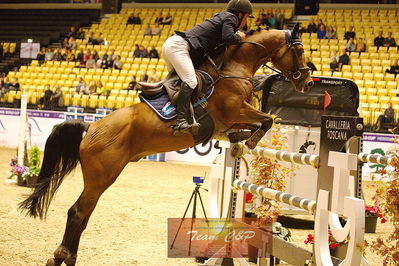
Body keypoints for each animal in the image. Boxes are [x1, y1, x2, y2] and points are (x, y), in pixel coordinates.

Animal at [18, 25, 312, 266]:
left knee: (85, 214)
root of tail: (91, 127)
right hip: (102, 176)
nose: (306, 81)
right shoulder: (235, 111)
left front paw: (241, 142)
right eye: (299, 50)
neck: (233, 70)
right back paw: (61, 257)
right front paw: (249, 140)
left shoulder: (226, 125)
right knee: (78, 212)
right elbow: (267, 120)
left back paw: (68, 257)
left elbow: (256, 125)